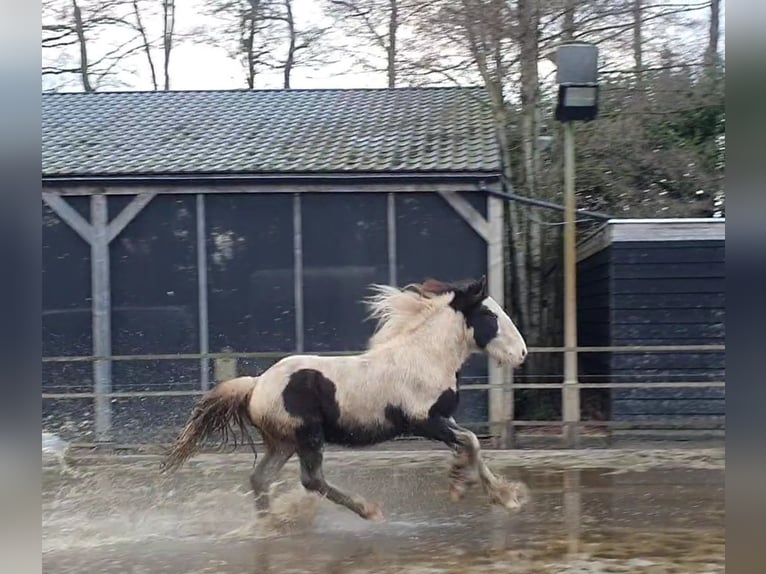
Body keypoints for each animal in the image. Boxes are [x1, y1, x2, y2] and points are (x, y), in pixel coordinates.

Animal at [161, 276, 528, 524]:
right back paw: (368, 510)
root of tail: (256, 385)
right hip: (308, 437)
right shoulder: (424, 421)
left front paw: (504, 496)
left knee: (260, 478)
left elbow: (472, 444)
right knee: (310, 479)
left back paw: (272, 524)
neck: (424, 357)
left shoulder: (443, 419)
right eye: (491, 316)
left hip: (283, 443)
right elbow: (470, 442)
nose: (522, 353)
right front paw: (461, 484)